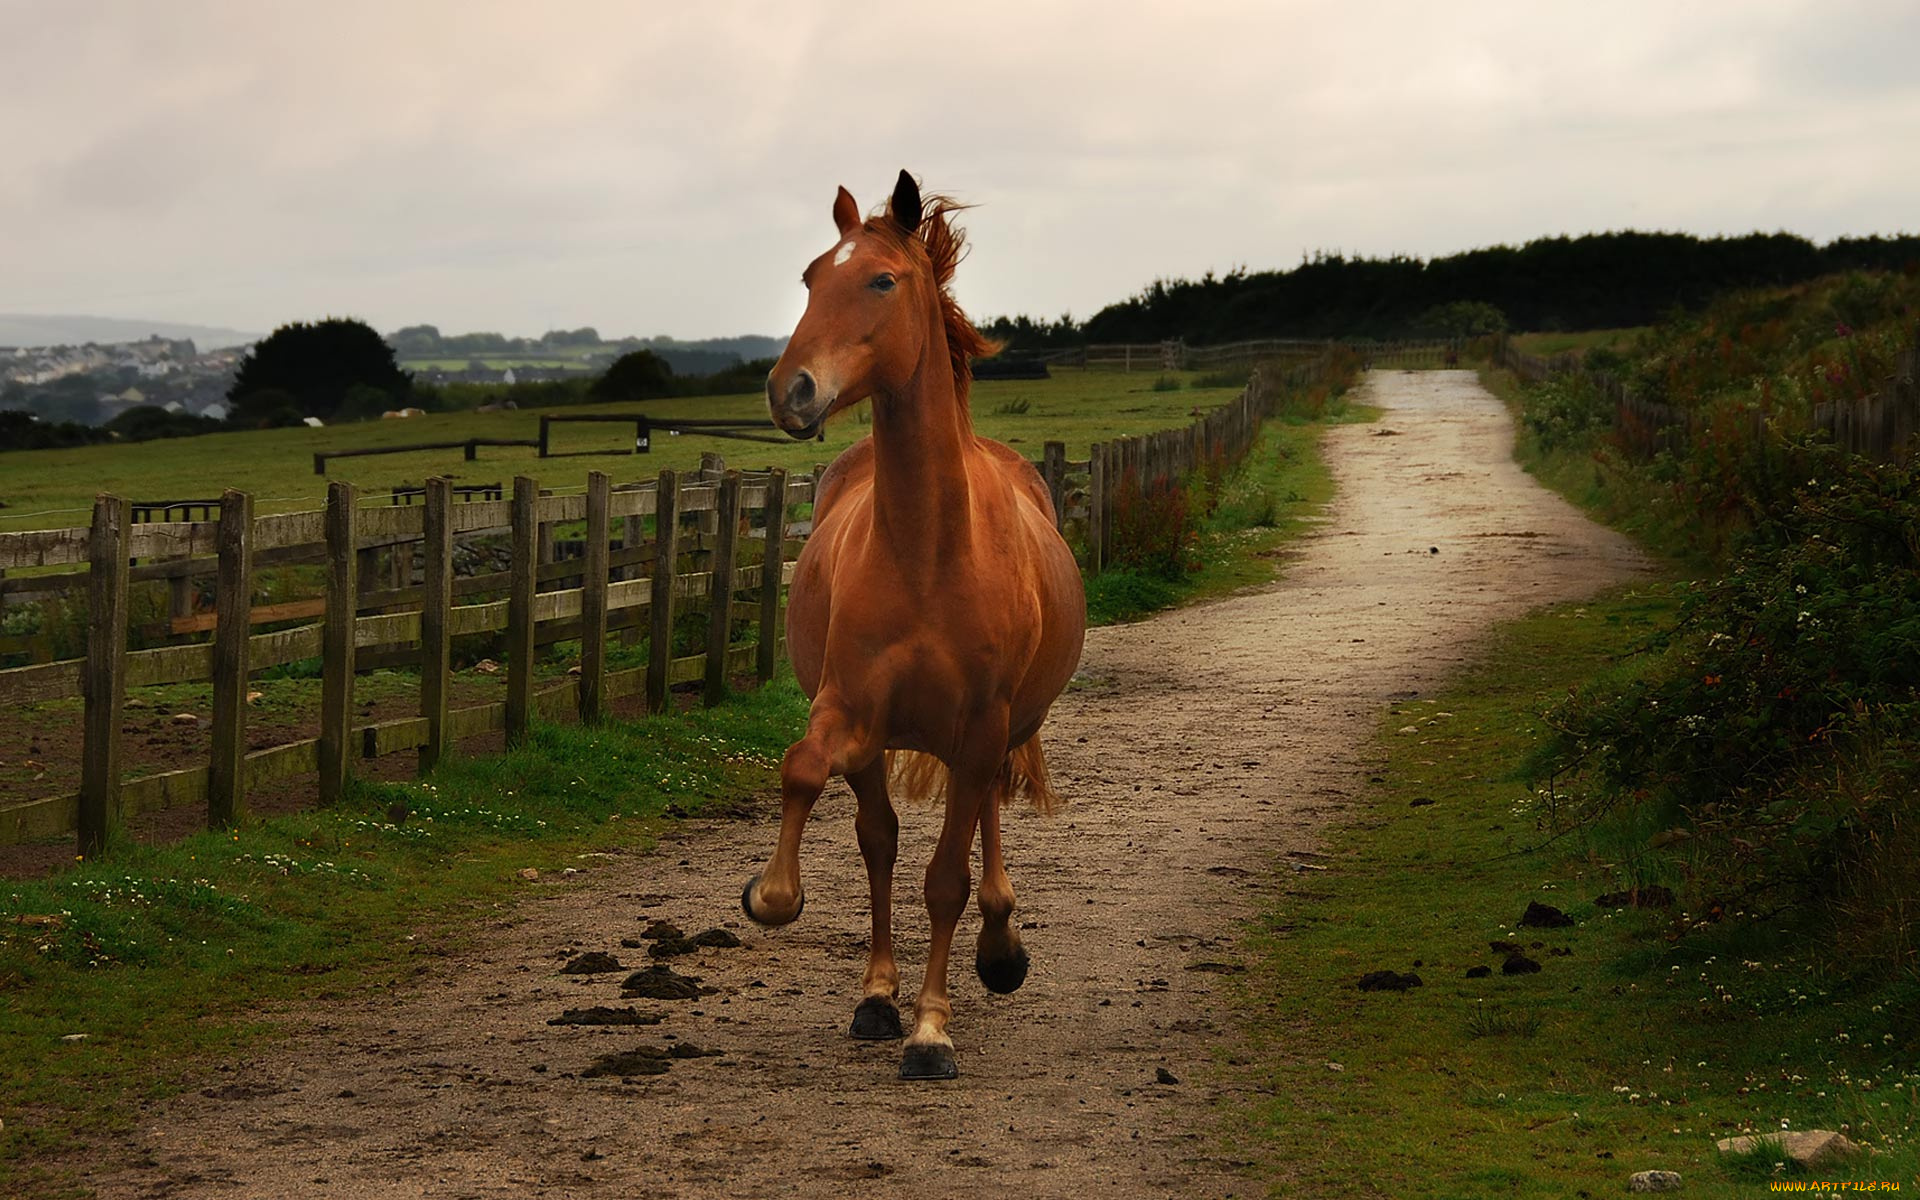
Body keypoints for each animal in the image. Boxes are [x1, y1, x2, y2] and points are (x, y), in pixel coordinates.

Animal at [744, 172, 1090, 1082]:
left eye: (881, 281)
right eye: (809, 277)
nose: (791, 390)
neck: (931, 550)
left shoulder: (979, 728)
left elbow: (947, 881)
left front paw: (933, 1031)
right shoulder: (848, 710)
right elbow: (807, 775)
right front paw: (774, 896)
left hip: (1007, 730)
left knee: (986, 822)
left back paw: (999, 949)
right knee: (880, 841)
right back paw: (876, 995)